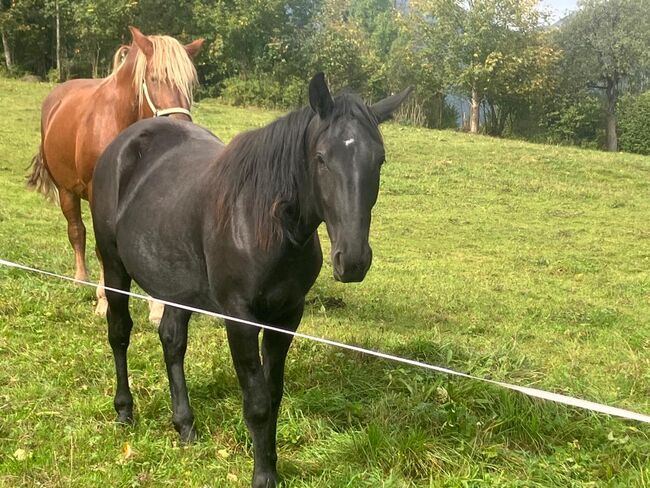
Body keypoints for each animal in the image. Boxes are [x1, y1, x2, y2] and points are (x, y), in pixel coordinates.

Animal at [27, 26, 202, 316]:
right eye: (154, 78)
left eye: (190, 83)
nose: (182, 127)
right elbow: (101, 249)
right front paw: (105, 301)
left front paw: (157, 307)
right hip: (66, 190)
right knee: (77, 231)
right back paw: (81, 280)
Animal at [90, 73, 410, 488]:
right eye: (321, 158)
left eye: (379, 159)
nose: (353, 261)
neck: (265, 224)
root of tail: (122, 145)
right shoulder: (240, 319)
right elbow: (256, 402)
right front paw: (262, 476)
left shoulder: (287, 317)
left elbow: (272, 395)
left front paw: (271, 464)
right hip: (114, 266)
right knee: (119, 333)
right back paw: (125, 412)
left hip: (178, 285)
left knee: (172, 341)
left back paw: (185, 425)